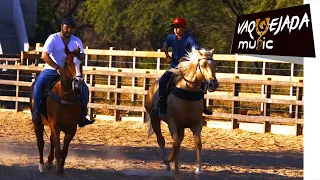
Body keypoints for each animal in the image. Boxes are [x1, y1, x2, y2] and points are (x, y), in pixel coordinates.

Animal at [29, 45, 84, 174]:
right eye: (67, 62)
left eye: (81, 62)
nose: (78, 82)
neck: (65, 97)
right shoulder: (55, 125)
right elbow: (58, 149)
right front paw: (58, 169)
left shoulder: (71, 129)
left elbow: (64, 150)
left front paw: (60, 167)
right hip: (38, 123)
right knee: (40, 143)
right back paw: (42, 165)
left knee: (51, 140)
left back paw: (49, 162)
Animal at [144, 47, 218, 177]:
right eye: (203, 64)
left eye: (215, 65)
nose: (213, 84)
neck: (187, 90)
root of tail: (151, 89)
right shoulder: (173, 123)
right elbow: (175, 143)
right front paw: (169, 160)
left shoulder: (196, 124)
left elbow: (197, 143)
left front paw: (198, 169)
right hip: (155, 119)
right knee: (161, 140)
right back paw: (167, 164)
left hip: (181, 127)